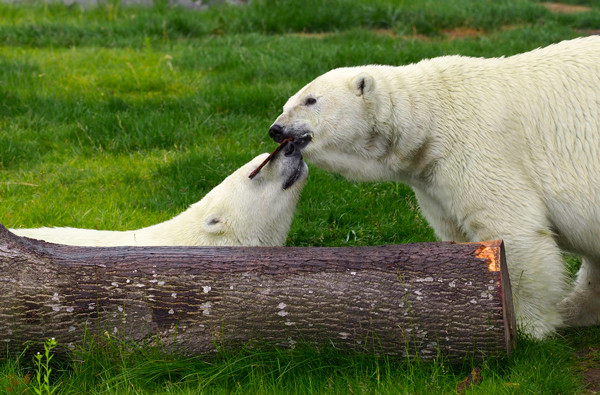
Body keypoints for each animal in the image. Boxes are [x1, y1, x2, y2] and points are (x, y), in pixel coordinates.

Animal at [270, 36, 600, 340]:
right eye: (287, 102)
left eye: (310, 100)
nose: (276, 129)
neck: (430, 117)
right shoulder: (432, 180)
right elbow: (458, 234)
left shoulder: (478, 147)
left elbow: (512, 230)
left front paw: (528, 326)